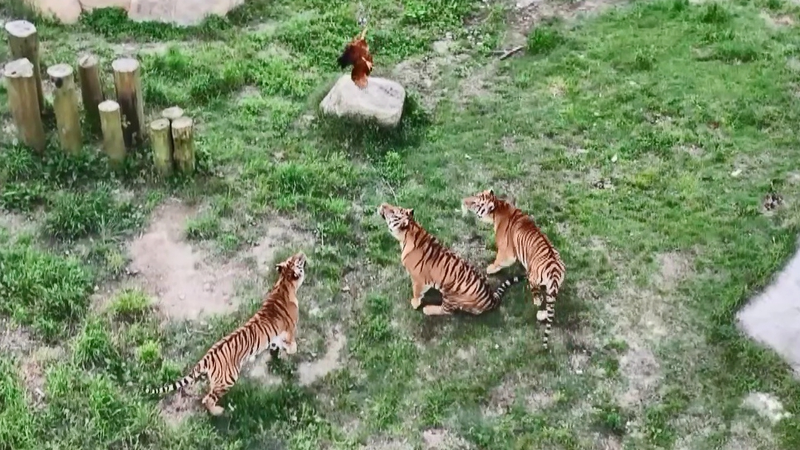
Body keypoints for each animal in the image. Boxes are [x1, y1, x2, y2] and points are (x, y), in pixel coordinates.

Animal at [145, 252, 307, 416]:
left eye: (292, 258)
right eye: (297, 260)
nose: (302, 253)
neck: (284, 284)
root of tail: (207, 357)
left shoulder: (275, 335)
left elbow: (275, 346)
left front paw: (277, 357)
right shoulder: (290, 329)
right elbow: (291, 343)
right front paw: (291, 350)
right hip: (227, 379)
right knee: (207, 399)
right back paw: (219, 412)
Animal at [378, 202, 524, 316]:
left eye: (393, 211)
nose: (383, 204)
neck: (412, 230)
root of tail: (490, 297)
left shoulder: (418, 279)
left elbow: (416, 292)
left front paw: (415, 303)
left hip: (451, 293)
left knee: (446, 311)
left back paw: (428, 309)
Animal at [462, 189, 566, 349]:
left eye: (475, 202)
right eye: (474, 195)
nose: (463, 201)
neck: (499, 206)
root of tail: (554, 272)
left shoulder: (507, 254)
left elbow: (498, 261)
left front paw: (490, 268)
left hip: (534, 279)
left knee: (538, 299)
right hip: (554, 287)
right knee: (549, 306)